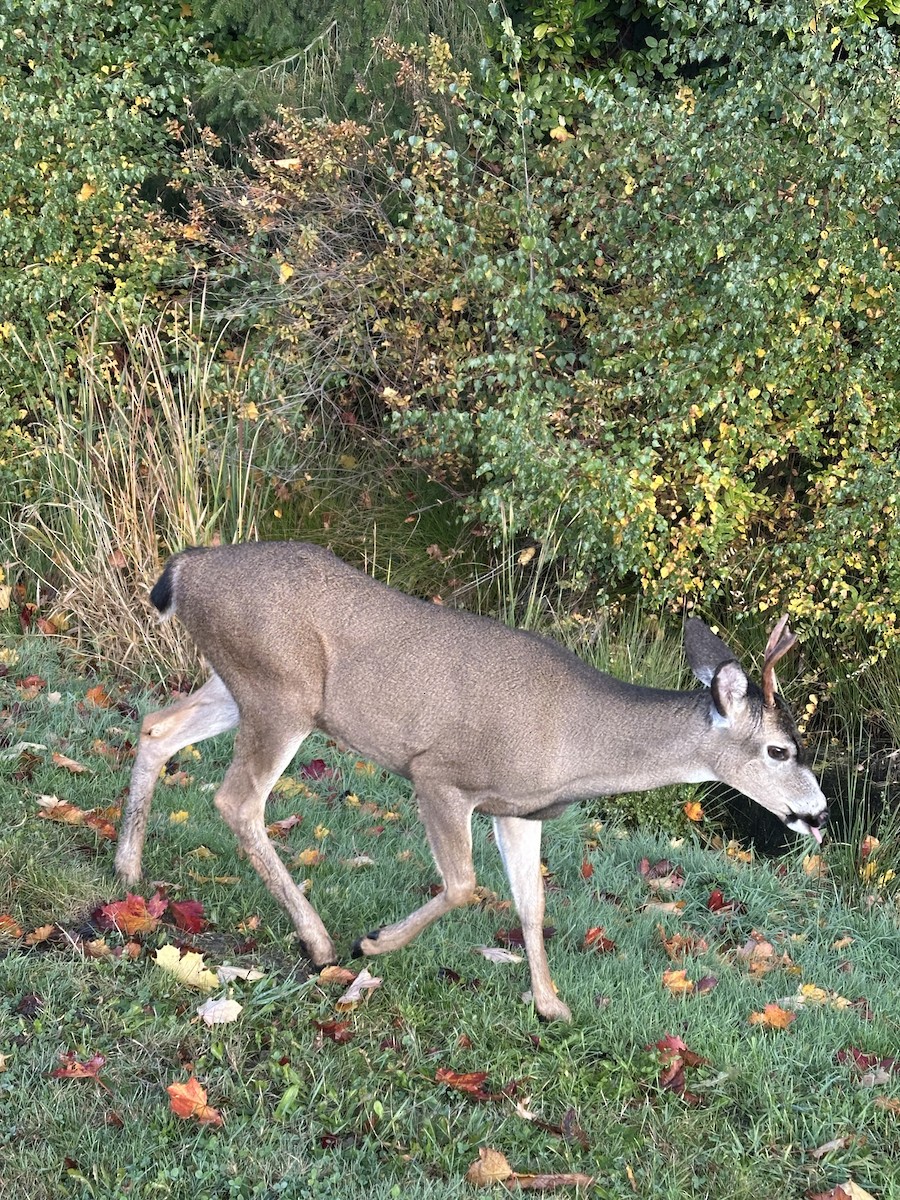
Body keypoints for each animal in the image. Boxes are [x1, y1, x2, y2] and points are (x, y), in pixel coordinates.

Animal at [115, 541, 827, 1022]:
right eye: (780, 749)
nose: (818, 814)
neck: (575, 742)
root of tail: (187, 568)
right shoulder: (440, 775)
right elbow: (462, 885)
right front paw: (375, 942)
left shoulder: (518, 809)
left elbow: (532, 906)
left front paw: (551, 1006)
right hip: (280, 691)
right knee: (237, 800)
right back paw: (320, 944)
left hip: (240, 684)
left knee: (155, 727)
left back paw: (127, 868)